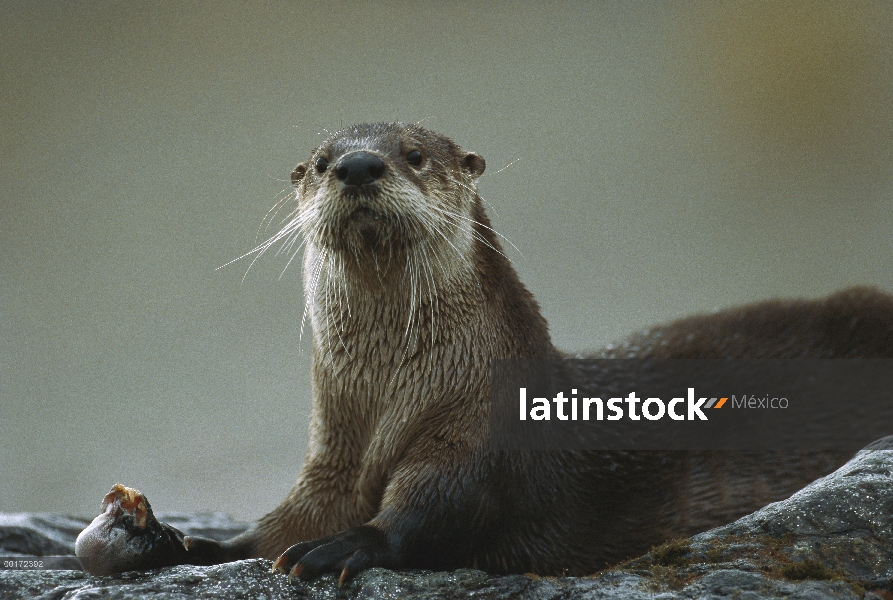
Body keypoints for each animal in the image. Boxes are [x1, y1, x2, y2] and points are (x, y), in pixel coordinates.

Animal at [75, 120, 892, 580]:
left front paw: (343, 548)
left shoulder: (475, 433)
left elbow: (435, 510)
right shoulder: (331, 462)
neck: (395, 394)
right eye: (322, 161)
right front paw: (164, 538)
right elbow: (272, 529)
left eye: (412, 155)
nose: (359, 166)